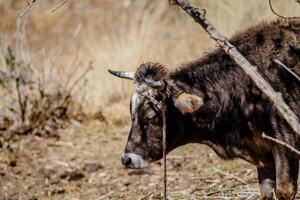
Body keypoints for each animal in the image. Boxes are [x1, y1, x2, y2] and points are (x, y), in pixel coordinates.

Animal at [108, 19, 300, 200]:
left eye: (150, 116)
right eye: (131, 114)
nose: (127, 159)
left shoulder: (286, 142)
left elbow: (283, 191)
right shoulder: (263, 156)